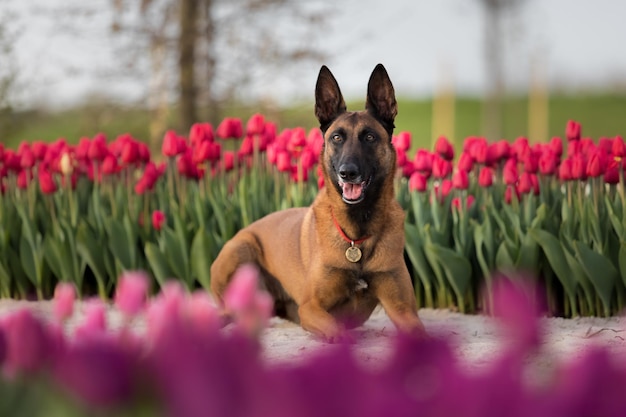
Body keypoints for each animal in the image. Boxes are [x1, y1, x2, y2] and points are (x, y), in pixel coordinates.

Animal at [210, 62, 424, 342]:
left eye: (369, 137)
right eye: (337, 137)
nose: (347, 172)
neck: (356, 234)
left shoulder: (402, 308)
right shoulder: (311, 308)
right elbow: (337, 330)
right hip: (242, 248)